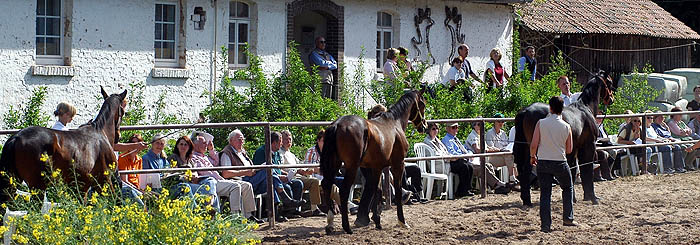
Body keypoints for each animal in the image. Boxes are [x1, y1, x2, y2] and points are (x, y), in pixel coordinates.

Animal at [322, 89, 430, 234]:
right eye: (422, 104)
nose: (424, 126)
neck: (394, 123)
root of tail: (337, 125)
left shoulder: (376, 167)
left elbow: (376, 190)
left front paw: (377, 220)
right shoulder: (398, 164)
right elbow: (397, 190)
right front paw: (402, 221)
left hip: (335, 163)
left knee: (327, 184)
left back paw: (330, 223)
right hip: (351, 166)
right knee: (343, 190)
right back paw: (347, 227)